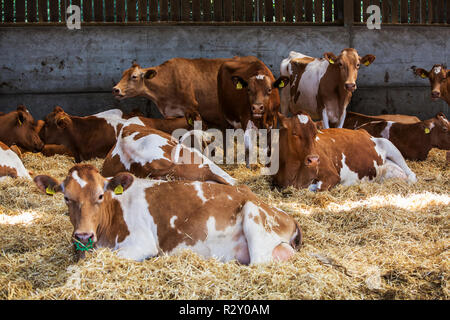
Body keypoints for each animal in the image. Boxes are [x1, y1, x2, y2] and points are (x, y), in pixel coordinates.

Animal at [33, 164, 302, 264]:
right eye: (66, 197)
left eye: (100, 195)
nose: (84, 236)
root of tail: (286, 215)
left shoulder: (141, 244)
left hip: (253, 214)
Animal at [274, 112, 418, 190]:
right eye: (294, 133)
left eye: (315, 133)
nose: (313, 160)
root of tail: (364, 132)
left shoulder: (332, 176)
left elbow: (316, 187)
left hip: (390, 147)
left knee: (411, 174)